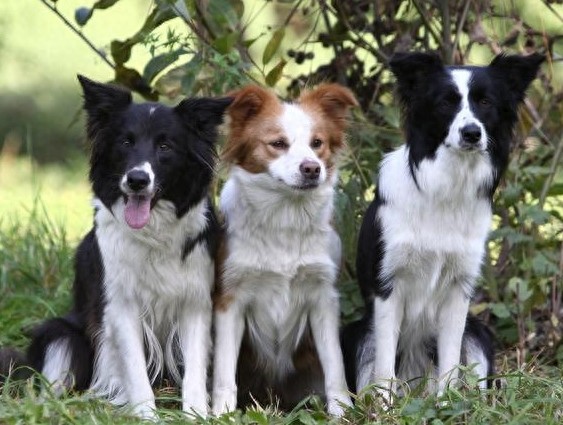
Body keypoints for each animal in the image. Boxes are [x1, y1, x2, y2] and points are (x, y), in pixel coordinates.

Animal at [18, 76, 232, 418]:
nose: (137, 180)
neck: (153, 233)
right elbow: (135, 370)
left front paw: (196, 415)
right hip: (61, 333)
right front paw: (147, 417)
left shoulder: (195, 301)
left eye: (165, 146)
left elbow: (195, 370)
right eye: (125, 142)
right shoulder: (121, 306)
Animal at [214, 83, 360, 414]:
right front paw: (221, 414)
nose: (312, 168)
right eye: (278, 144)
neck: (285, 216)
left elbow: (335, 367)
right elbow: (224, 372)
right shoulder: (230, 298)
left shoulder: (323, 297)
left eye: (317, 143)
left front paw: (342, 412)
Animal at [342, 52, 544, 398]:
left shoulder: (457, 289)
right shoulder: (387, 287)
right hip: (358, 333)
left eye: (486, 102)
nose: (472, 133)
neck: (446, 187)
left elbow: (450, 360)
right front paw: (385, 407)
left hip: (478, 334)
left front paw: (447, 403)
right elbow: (384, 367)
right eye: (446, 103)